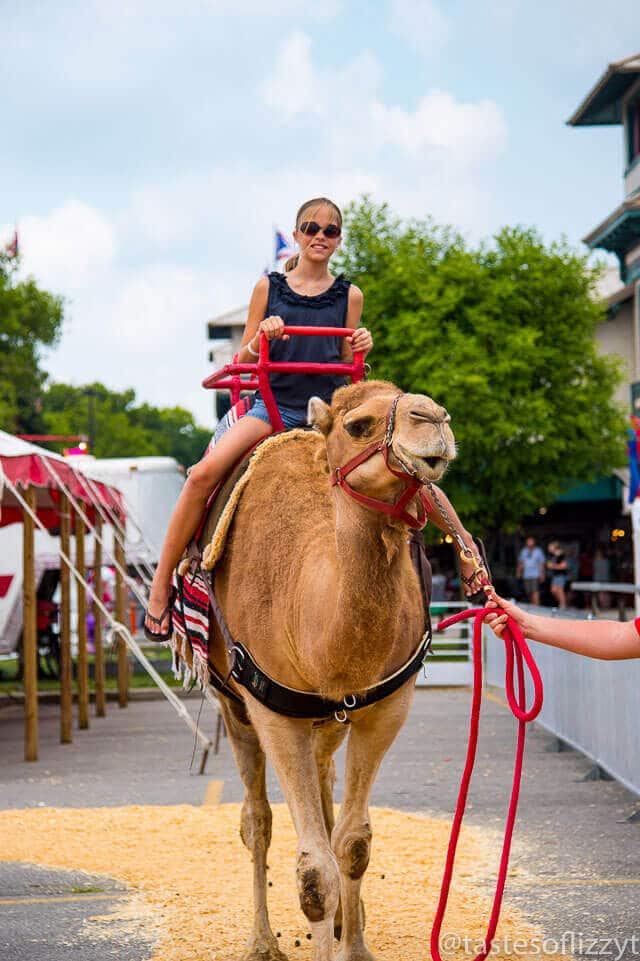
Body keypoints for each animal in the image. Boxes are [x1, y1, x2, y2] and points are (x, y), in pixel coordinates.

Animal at [205, 380, 456, 960]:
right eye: (359, 425)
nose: (434, 417)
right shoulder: (272, 712)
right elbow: (313, 871)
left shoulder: (385, 708)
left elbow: (354, 842)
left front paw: (356, 946)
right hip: (233, 705)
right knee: (258, 819)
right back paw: (262, 942)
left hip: (324, 723)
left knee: (324, 795)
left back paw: (346, 919)